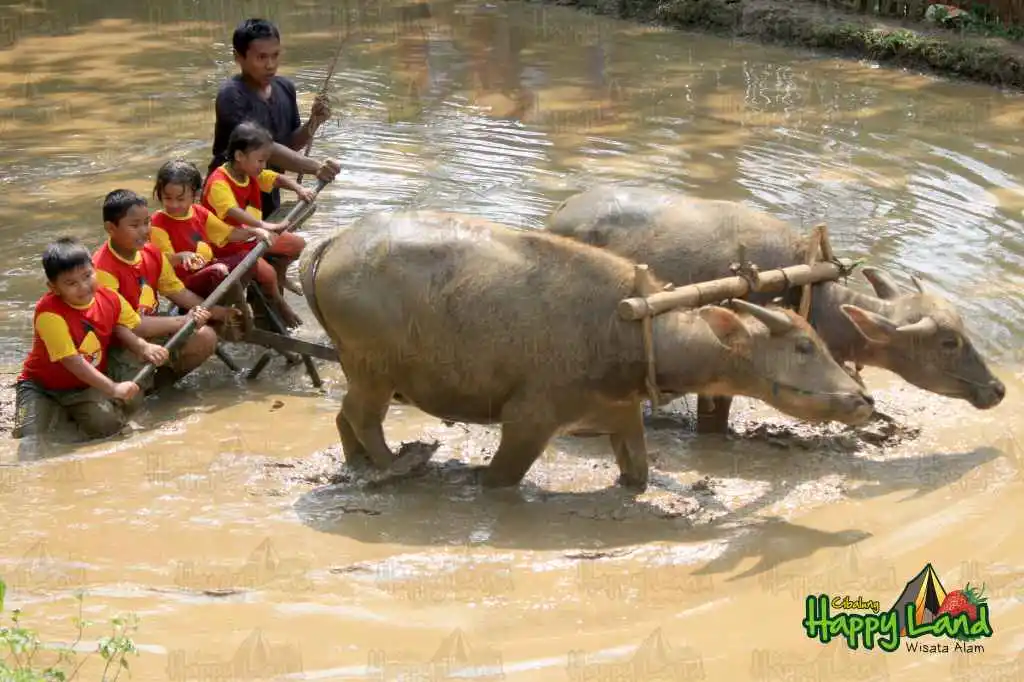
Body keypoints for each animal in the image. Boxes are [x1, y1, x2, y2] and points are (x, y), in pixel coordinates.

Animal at [299, 209, 872, 485]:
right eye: (803, 346)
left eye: (818, 341)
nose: (864, 399)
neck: (628, 328)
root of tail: (333, 243)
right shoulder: (527, 422)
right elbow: (499, 480)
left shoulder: (622, 414)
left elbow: (638, 472)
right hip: (374, 371)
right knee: (362, 417)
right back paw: (394, 465)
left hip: (361, 370)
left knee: (345, 418)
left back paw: (361, 464)